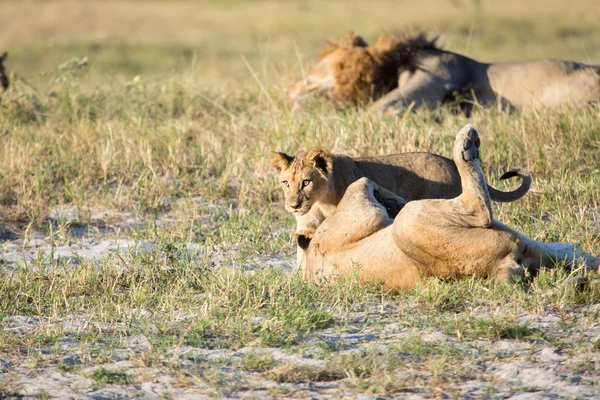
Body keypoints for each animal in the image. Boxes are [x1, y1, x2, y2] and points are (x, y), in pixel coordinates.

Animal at [298, 124, 596, 288]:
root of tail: (500, 267)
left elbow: (363, 183)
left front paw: (390, 199)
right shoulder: (357, 215)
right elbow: (361, 184)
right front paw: (390, 200)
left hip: (544, 251)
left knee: (575, 252)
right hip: (411, 221)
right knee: (478, 207)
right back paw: (466, 143)